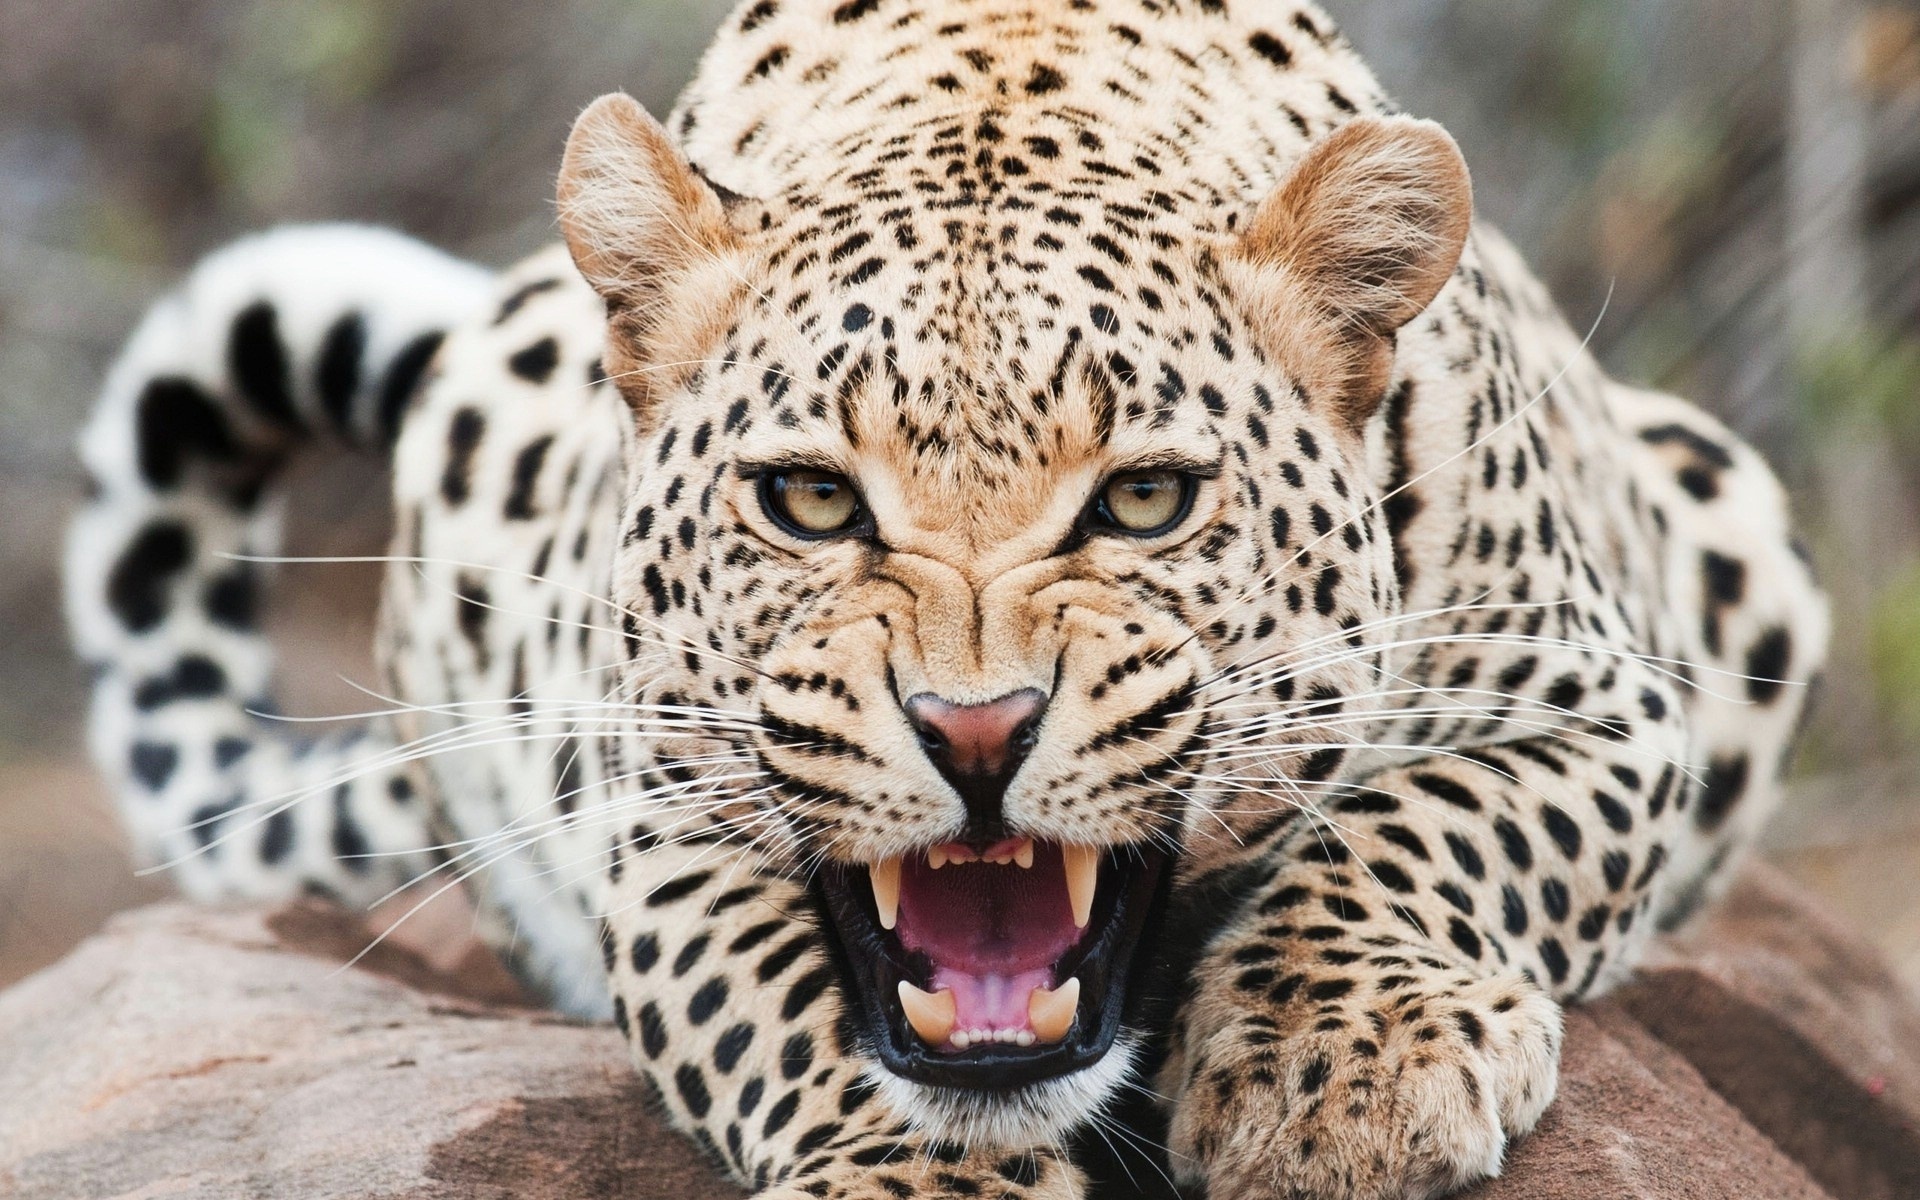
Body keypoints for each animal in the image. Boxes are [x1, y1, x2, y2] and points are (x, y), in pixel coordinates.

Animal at [65, 0, 1829, 1196]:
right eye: (810, 500)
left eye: (1144, 500)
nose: (977, 733)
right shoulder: (658, 810)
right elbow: (778, 1001)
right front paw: (916, 1177)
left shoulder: (1604, 702)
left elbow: (1428, 828)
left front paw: (1341, 1074)